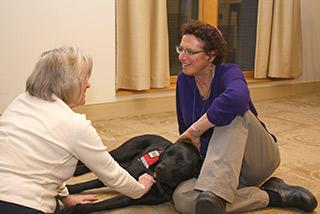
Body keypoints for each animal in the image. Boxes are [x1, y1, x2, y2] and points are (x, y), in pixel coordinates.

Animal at [62, 135, 202, 213]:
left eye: (181, 162)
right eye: (167, 154)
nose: (159, 168)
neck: (160, 183)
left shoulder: (135, 197)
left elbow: (105, 204)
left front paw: (75, 209)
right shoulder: (124, 174)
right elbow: (89, 184)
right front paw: (68, 189)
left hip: (126, 162)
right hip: (122, 153)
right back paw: (76, 168)